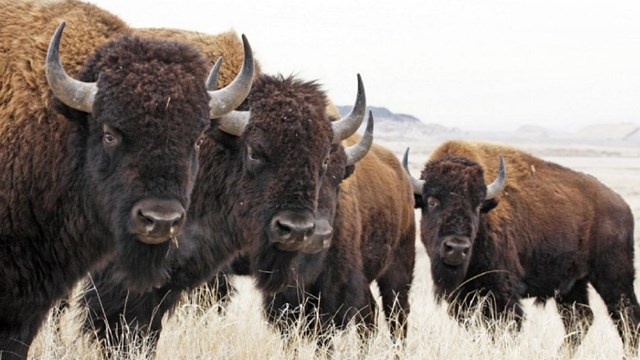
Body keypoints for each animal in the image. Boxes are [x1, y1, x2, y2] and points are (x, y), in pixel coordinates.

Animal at [404, 140, 640, 352]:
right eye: (432, 201)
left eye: (478, 205)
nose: (457, 248)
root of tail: (622, 206)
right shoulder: (463, 297)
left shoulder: (502, 294)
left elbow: (504, 329)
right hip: (573, 284)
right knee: (580, 318)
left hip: (614, 278)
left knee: (626, 317)